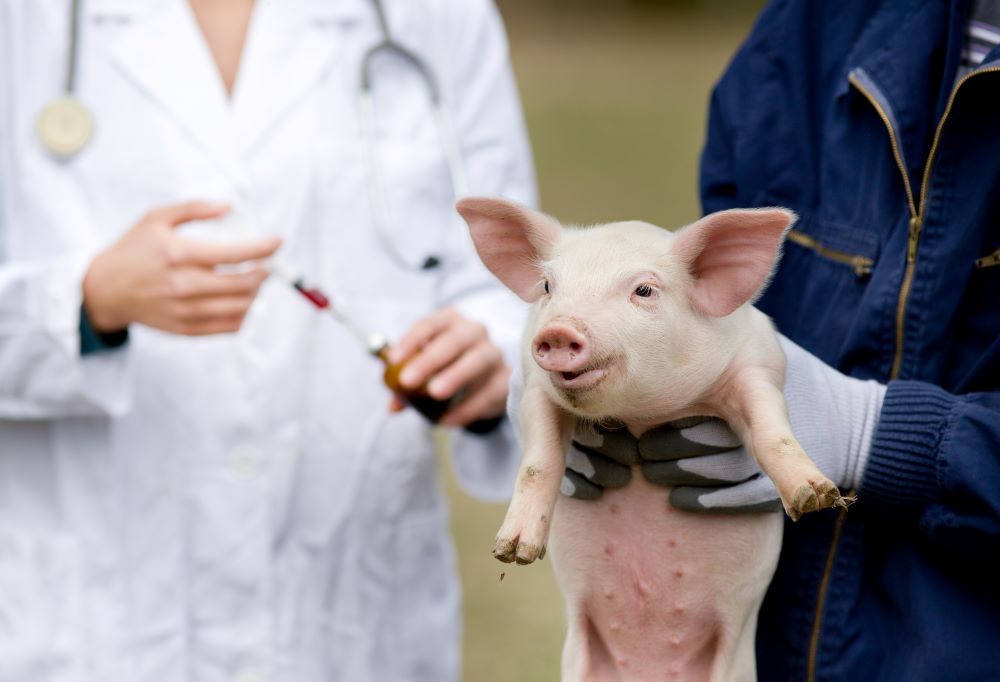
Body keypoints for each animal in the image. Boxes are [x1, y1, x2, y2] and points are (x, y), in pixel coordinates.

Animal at [455, 197, 851, 682]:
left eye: (644, 291)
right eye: (548, 285)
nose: (560, 330)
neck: (641, 416)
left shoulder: (759, 363)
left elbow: (771, 432)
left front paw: (815, 498)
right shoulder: (534, 388)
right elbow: (538, 461)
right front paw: (512, 551)